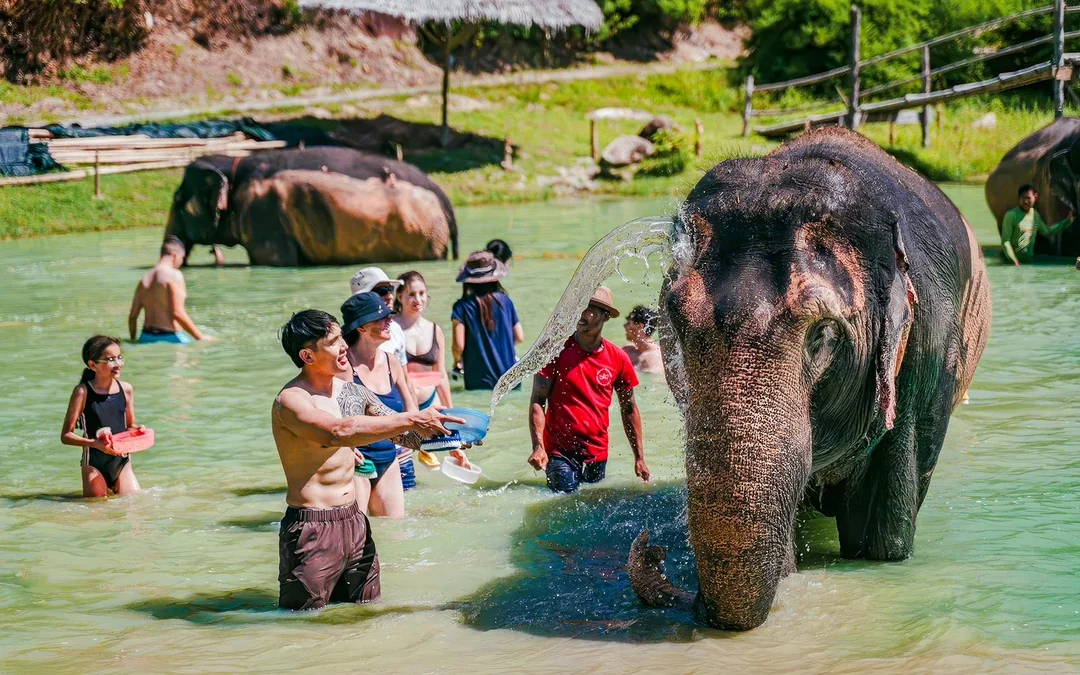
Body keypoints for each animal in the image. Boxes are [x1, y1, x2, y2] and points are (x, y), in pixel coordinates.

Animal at [165, 146, 458, 266]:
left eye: (178, 201)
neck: (233, 163)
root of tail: (446, 202)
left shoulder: (264, 217)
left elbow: (274, 260)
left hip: (424, 236)